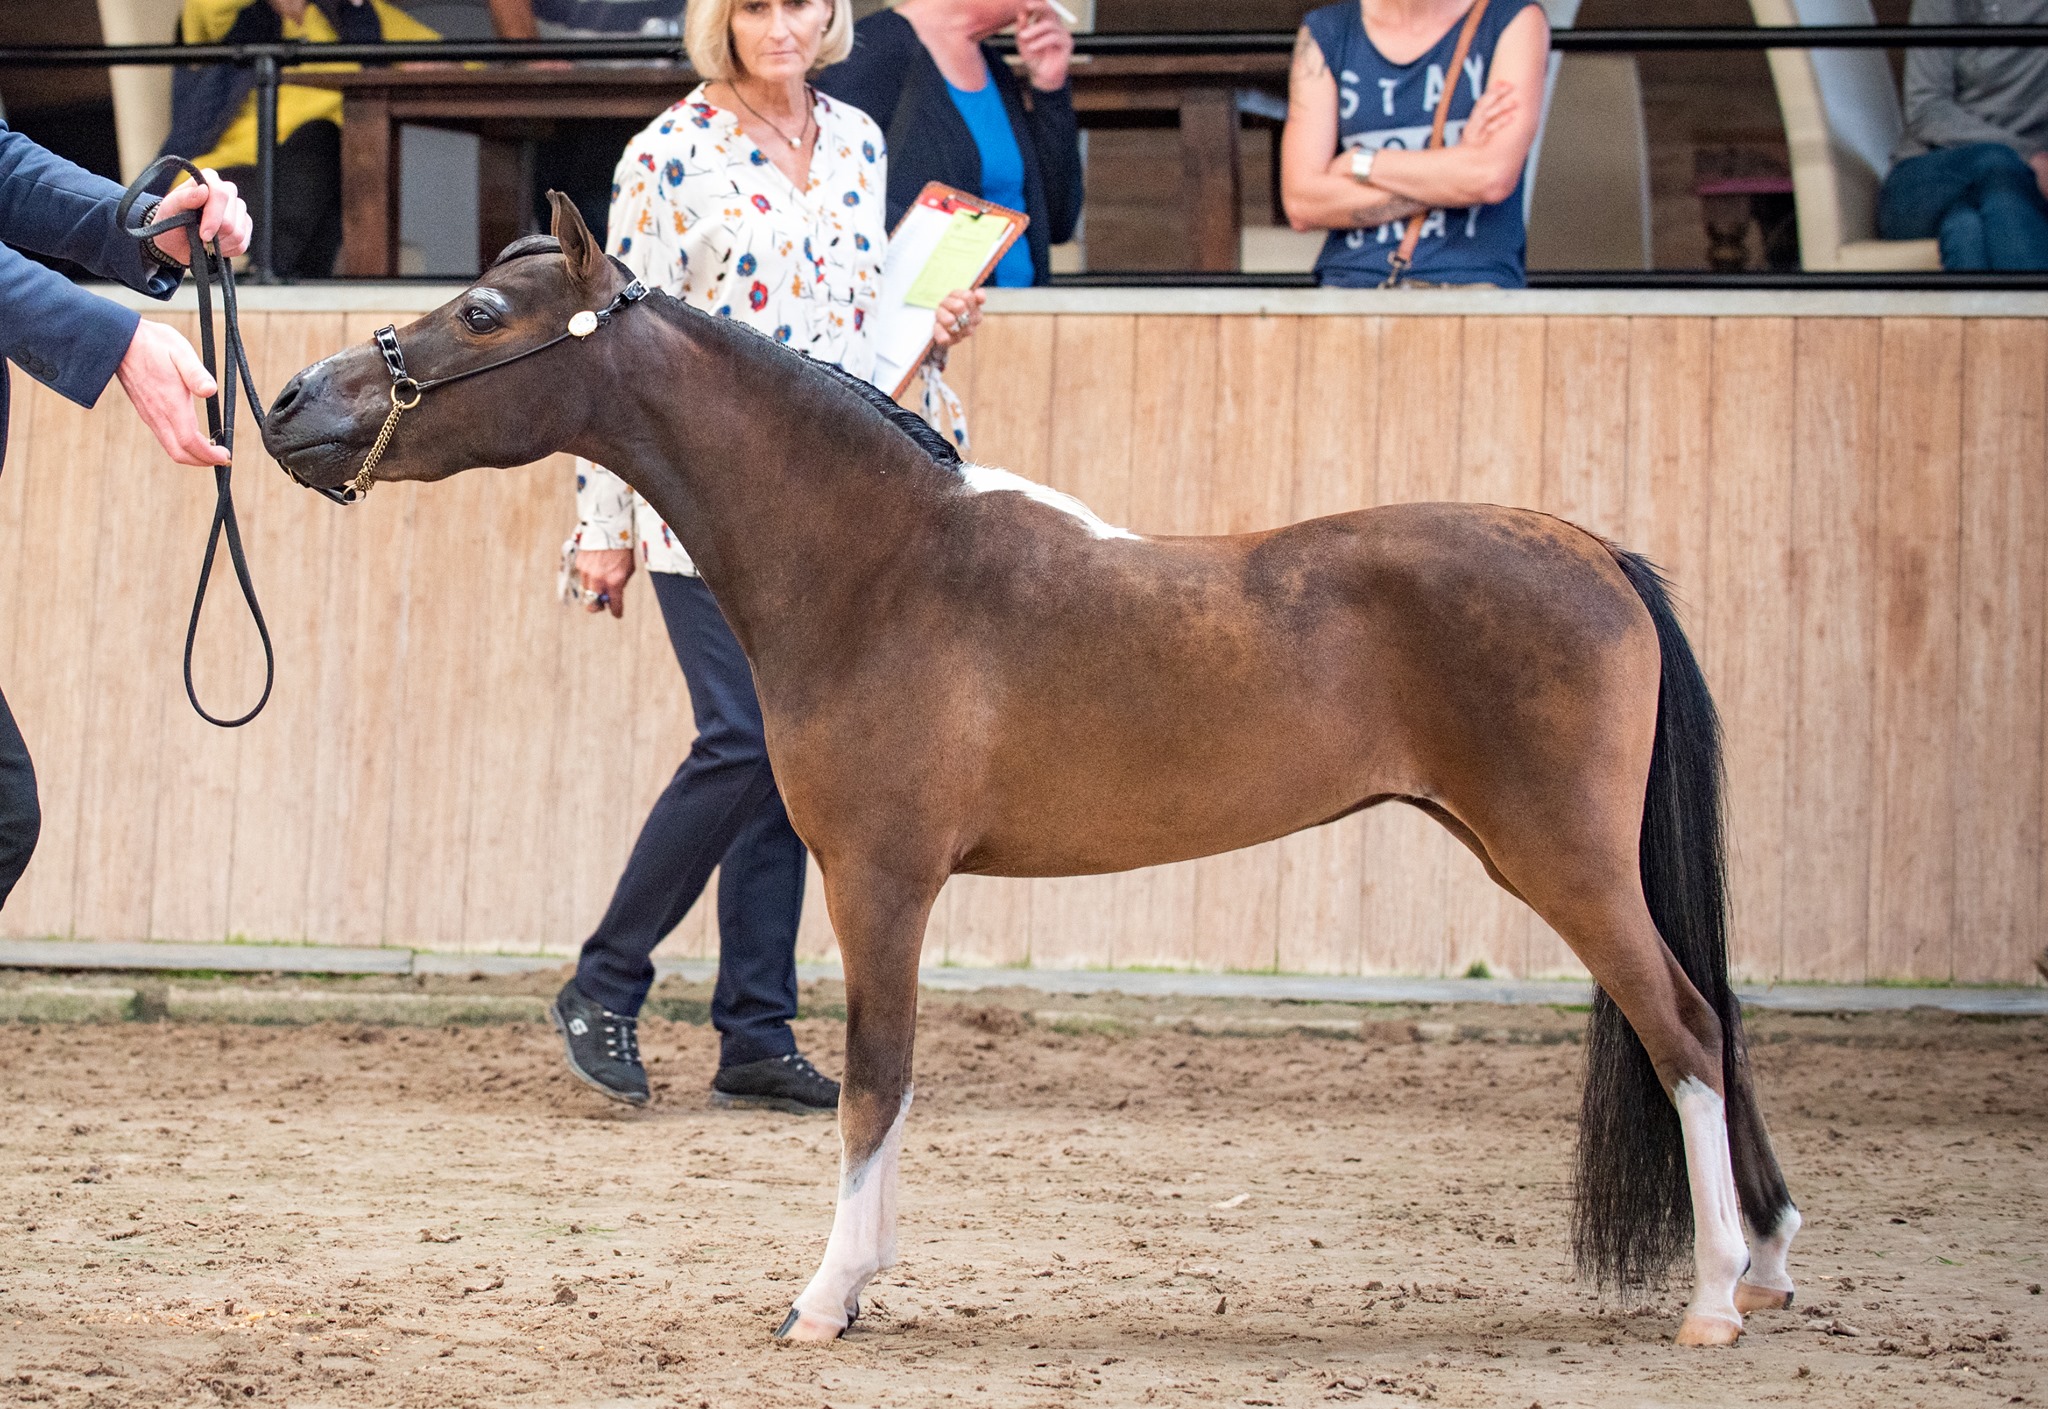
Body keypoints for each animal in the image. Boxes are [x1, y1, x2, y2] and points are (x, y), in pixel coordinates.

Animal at [262, 193, 1802, 1349]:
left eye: (479, 315)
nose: (287, 401)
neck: (881, 564)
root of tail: (1593, 550)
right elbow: (886, 1081)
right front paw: (862, 1285)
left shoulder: (880, 881)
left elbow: (877, 1076)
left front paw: (824, 1297)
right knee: (1707, 1021)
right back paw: (1770, 1263)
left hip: (1565, 859)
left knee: (1686, 1029)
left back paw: (1718, 1298)